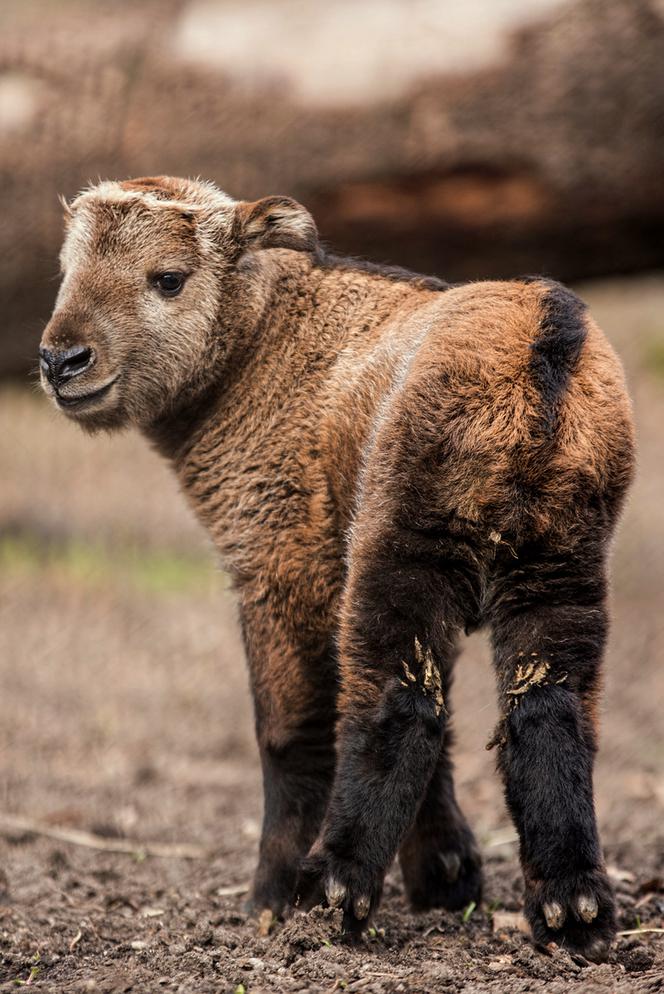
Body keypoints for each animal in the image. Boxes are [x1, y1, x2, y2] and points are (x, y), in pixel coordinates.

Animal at [39, 174, 636, 956]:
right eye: (65, 270)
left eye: (168, 279)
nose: (61, 362)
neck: (265, 344)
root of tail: (544, 340)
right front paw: (448, 881)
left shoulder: (281, 564)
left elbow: (288, 733)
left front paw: (268, 903)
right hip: (559, 562)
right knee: (545, 710)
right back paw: (573, 910)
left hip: (403, 547)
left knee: (397, 704)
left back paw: (332, 891)